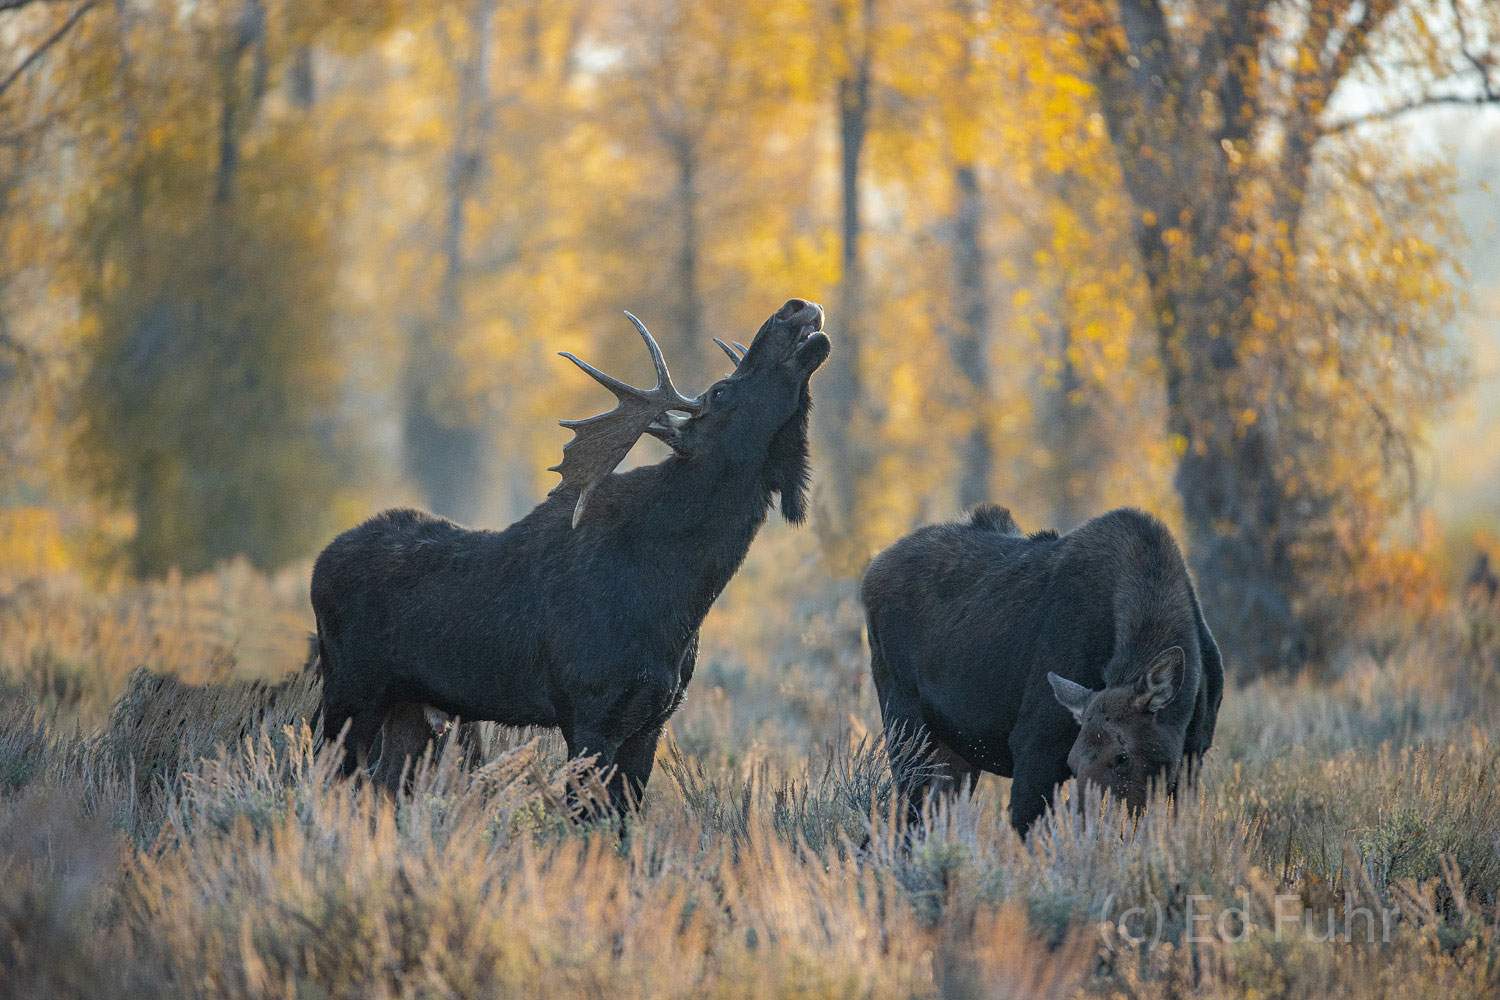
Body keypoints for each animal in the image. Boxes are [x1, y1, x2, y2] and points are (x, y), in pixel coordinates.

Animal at [312, 296, 834, 815]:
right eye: (721, 390)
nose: (793, 307)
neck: (680, 594)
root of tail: (319, 564)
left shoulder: (651, 721)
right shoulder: (589, 713)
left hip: (407, 706)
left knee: (381, 790)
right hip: (349, 693)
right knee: (323, 781)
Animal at [864, 503, 1224, 833]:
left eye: (1122, 757)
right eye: (1073, 762)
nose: (1090, 831)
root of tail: (870, 573)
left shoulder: (1192, 758)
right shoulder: (1036, 745)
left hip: (955, 755)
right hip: (906, 728)